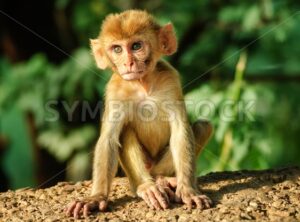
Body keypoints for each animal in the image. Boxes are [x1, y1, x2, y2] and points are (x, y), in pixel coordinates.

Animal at [67, 9, 212, 218]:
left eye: (136, 46)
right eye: (117, 49)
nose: (128, 63)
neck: (142, 84)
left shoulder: (170, 80)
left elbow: (180, 131)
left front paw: (188, 190)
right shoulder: (115, 90)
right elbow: (108, 139)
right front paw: (96, 198)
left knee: (202, 126)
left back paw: (162, 179)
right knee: (125, 131)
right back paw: (146, 187)